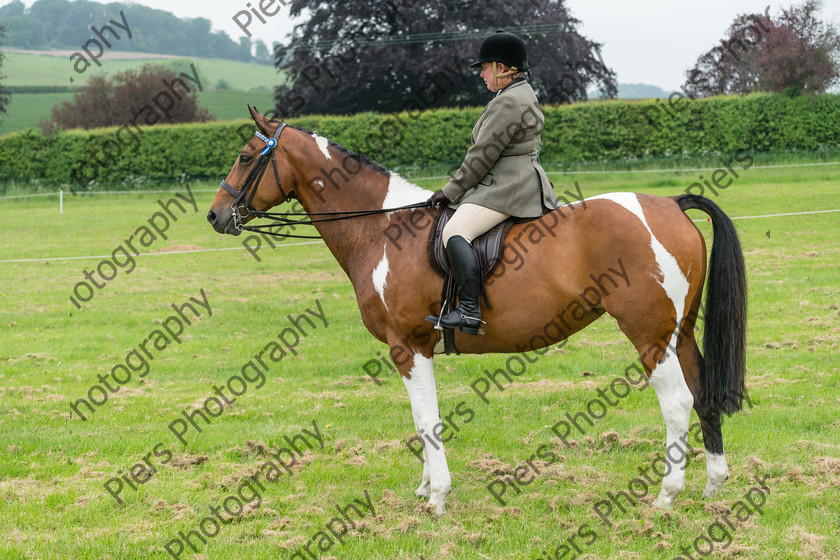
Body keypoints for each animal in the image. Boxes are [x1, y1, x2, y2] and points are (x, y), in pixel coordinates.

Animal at [208, 107, 748, 516]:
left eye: (245, 157)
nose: (215, 216)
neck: (382, 230)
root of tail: (670, 205)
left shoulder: (409, 346)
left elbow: (427, 421)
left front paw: (437, 499)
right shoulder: (411, 350)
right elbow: (419, 420)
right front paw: (425, 488)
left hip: (650, 336)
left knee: (677, 402)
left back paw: (666, 497)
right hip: (680, 333)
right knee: (703, 394)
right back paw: (712, 486)